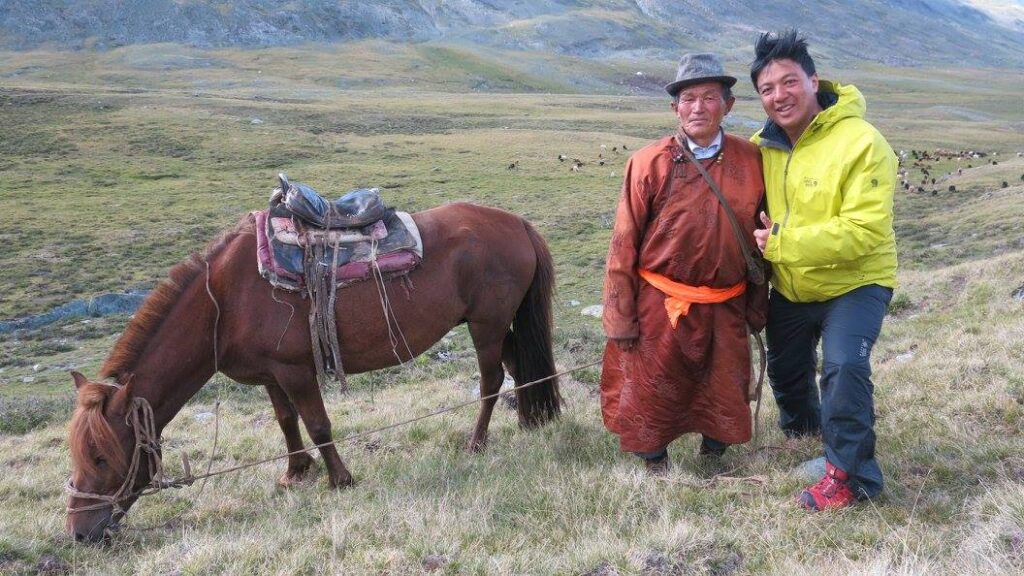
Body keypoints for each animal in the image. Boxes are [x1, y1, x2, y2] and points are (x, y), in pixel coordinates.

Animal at [66, 200, 561, 537]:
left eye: (101, 456)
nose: (79, 532)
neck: (224, 302)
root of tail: (517, 223)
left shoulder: (295, 370)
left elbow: (318, 423)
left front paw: (339, 479)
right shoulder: (271, 374)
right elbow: (287, 421)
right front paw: (294, 472)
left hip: (485, 326)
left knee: (492, 379)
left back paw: (477, 443)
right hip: (500, 326)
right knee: (520, 364)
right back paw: (532, 419)